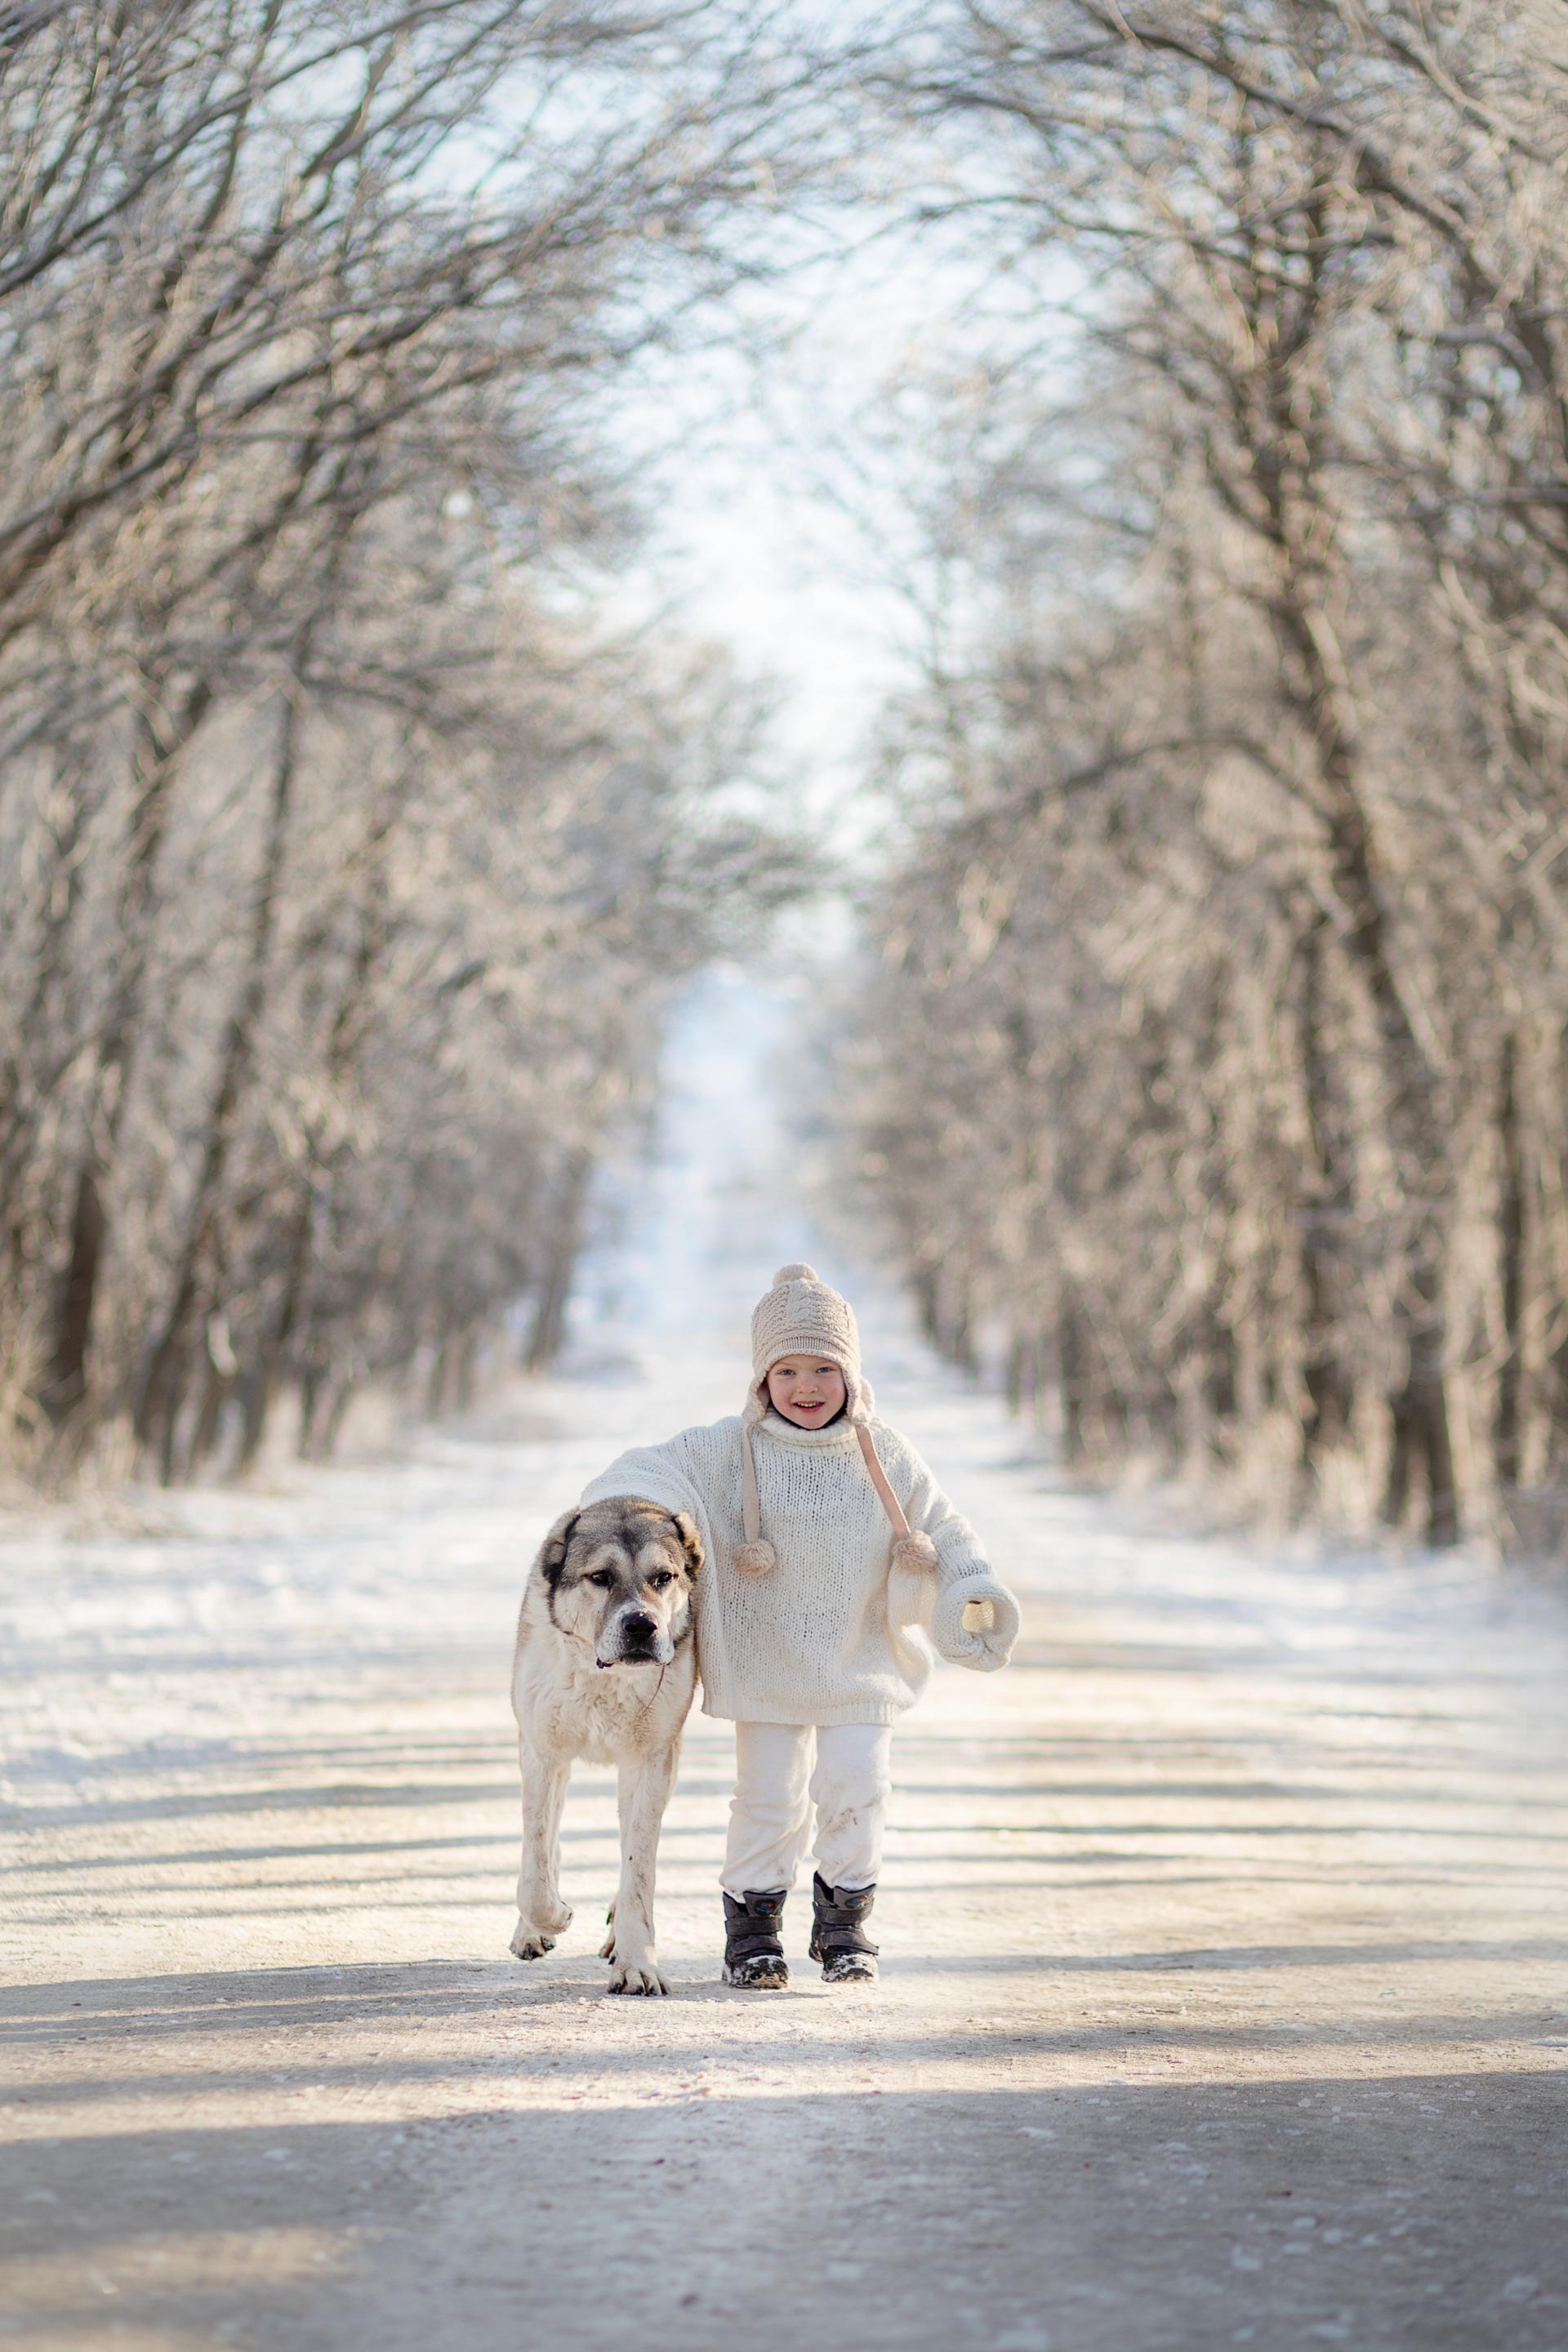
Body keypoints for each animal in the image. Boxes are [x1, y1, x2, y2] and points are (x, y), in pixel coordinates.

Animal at [510, 1495, 705, 1994]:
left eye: (664, 1578)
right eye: (600, 1577)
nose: (641, 1625)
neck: (602, 1677)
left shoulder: (649, 1762)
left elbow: (638, 1872)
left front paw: (637, 1964)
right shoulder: (543, 1752)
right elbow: (535, 1869)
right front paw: (552, 1918)